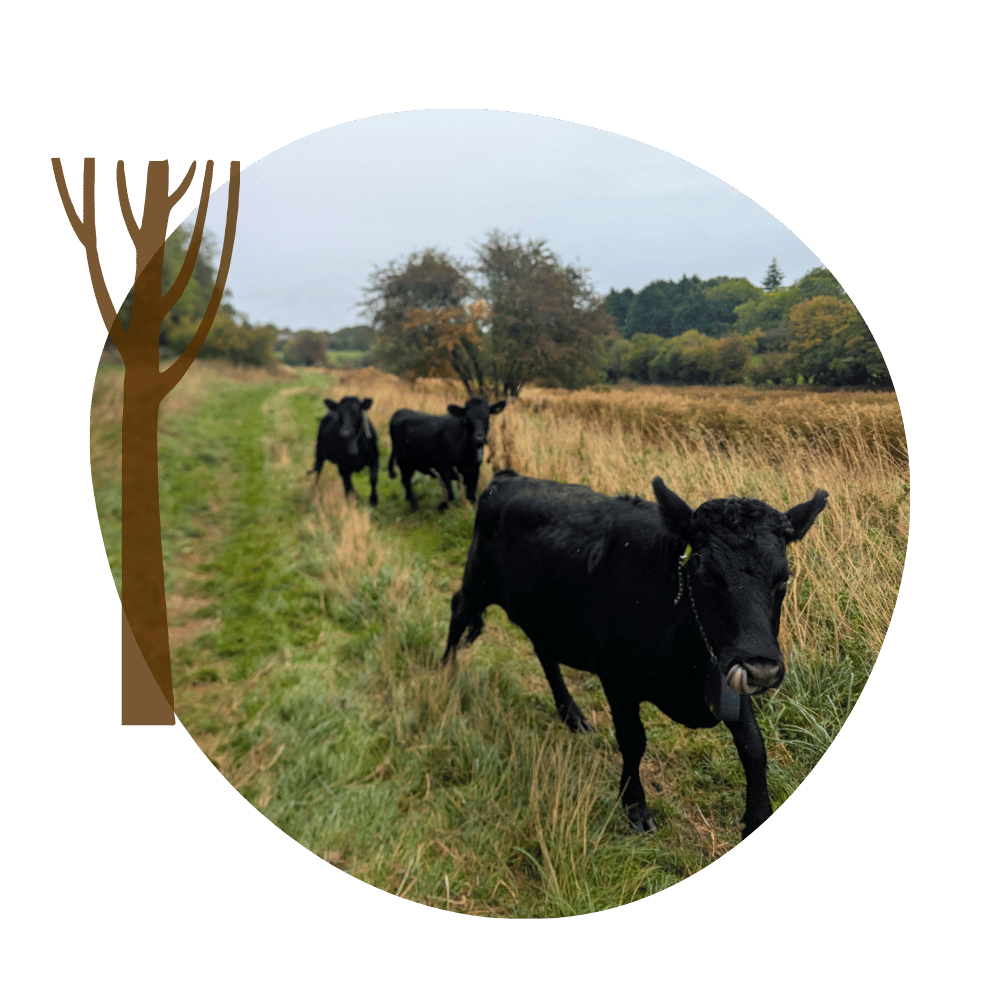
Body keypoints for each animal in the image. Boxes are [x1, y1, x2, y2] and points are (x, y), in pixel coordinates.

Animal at [442, 470, 828, 838]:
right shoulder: (618, 679)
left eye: (784, 579)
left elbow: (753, 746)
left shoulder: (728, 672)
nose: (762, 670)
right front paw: (635, 807)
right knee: (459, 610)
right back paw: (444, 677)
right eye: (706, 573)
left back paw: (571, 714)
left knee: (544, 652)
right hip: (479, 579)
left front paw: (758, 818)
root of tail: (510, 477)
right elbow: (632, 741)